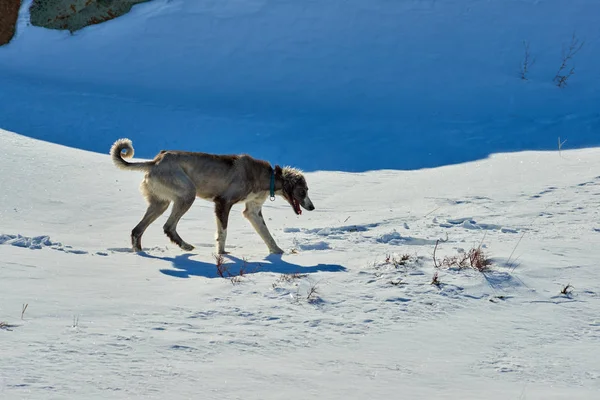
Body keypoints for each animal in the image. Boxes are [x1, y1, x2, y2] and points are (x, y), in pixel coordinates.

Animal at [109, 139, 314, 255]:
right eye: (303, 191)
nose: (312, 207)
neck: (266, 177)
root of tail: (156, 161)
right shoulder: (223, 203)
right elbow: (223, 233)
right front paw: (222, 254)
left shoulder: (252, 211)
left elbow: (267, 235)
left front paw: (277, 252)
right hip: (187, 194)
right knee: (168, 226)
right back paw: (185, 246)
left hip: (161, 203)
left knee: (137, 230)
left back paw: (140, 254)